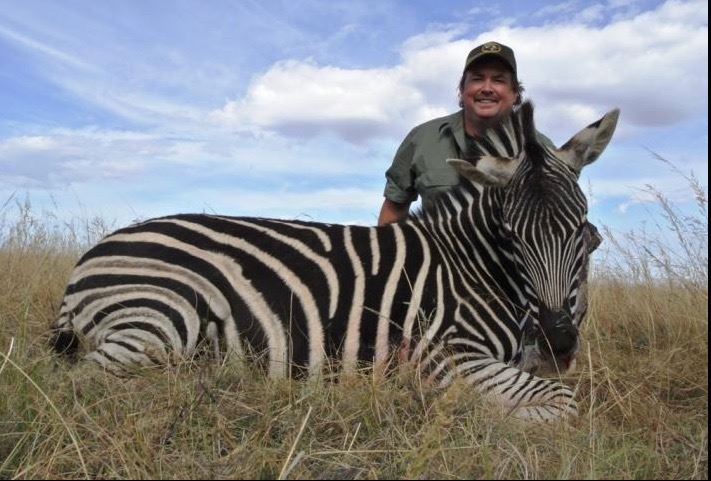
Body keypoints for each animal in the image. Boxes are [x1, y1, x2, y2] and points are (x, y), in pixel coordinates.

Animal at [51, 101, 619, 421]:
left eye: (582, 229)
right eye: (511, 235)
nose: (558, 341)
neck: (475, 269)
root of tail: (90, 256)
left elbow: (560, 394)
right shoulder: (446, 356)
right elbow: (564, 405)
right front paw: (454, 411)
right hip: (163, 317)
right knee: (81, 386)